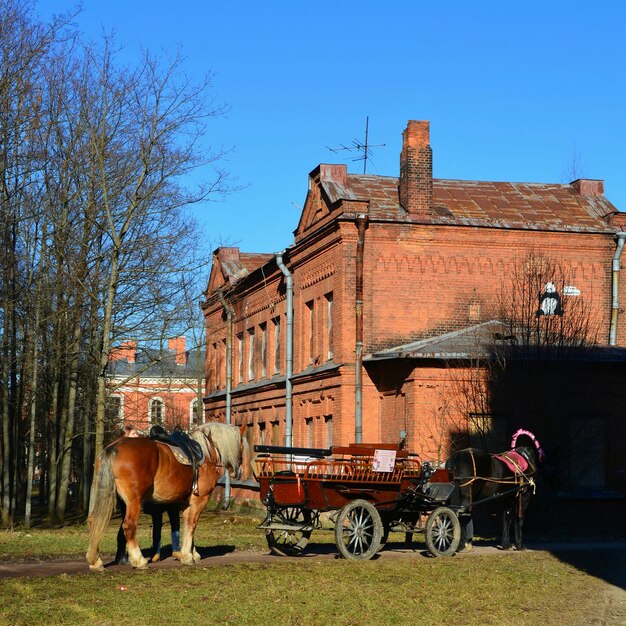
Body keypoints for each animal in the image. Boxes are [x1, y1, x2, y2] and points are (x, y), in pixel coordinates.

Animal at [86, 420, 246, 572]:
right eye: (242, 446)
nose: (239, 471)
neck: (205, 453)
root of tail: (115, 447)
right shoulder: (200, 499)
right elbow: (192, 525)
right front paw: (188, 557)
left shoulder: (185, 502)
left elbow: (187, 525)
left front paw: (192, 553)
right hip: (134, 501)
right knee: (128, 525)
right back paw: (139, 560)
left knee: (94, 521)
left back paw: (96, 561)